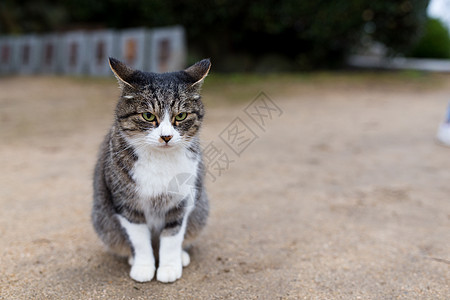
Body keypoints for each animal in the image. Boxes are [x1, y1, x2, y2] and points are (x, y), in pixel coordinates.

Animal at [92, 57, 212, 282]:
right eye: (148, 116)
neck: (160, 160)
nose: (166, 136)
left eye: (181, 116)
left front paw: (169, 267)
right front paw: (144, 267)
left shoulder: (181, 202)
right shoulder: (126, 204)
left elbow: (172, 238)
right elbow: (140, 240)